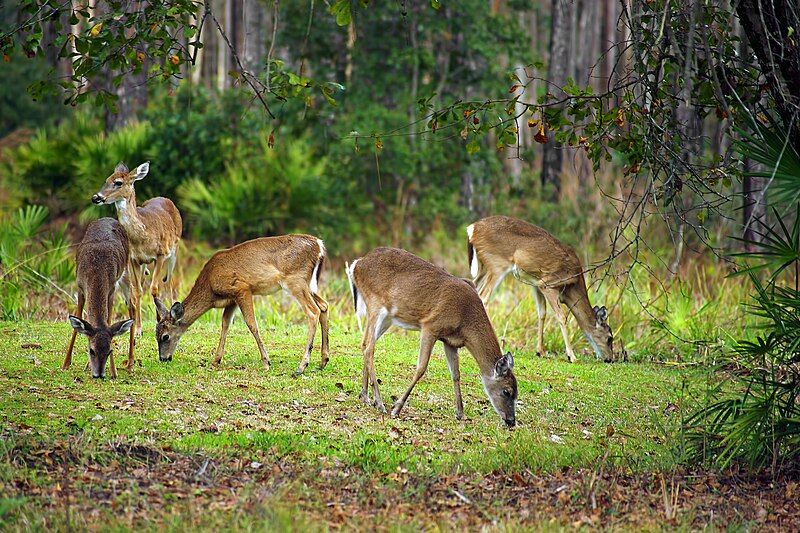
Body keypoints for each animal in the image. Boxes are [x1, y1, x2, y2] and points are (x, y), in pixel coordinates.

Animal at [63, 217, 135, 378]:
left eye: (109, 351)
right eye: (91, 351)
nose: (99, 374)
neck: (96, 271)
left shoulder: (111, 288)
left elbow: (108, 321)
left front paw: (113, 371)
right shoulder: (80, 287)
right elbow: (78, 321)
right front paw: (65, 364)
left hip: (126, 271)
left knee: (132, 305)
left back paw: (130, 364)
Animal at [91, 162, 182, 344]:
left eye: (118, 182)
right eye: (106, 179)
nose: (96, 197)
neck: (143, 235)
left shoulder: (161, 254)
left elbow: (154, 288)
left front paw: (160, 321)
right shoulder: (133, 259)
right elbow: (138, 292)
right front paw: (138, 330)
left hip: (174, 250)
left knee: (168, 282)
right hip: (144, 264)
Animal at [153, 233, 328, 374]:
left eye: (165, 336)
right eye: (156, 335)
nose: (163, 358)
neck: (210, 286)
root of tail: (319, 245)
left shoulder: (241, 288)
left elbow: (251, 323)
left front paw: (266, 362)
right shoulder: (232, 300)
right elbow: (225, 324)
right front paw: (216, 360)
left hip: (295, 280)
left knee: (313, 311)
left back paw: (301, 366)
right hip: (309, 284)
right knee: (324, 306)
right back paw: (322, 362)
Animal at [344, 247, 520, 426]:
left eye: (516, 392)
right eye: (507, 391)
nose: (511, 421)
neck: (466, 320)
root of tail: (357, 264)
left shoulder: (451, 341)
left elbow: (456, 374)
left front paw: (460, 413)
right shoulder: (430, 326)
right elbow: (421, 368)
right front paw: (397, 408)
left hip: (387, 317)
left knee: (364, 343)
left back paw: (365, 396)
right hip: (375, 304)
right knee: (369, 348)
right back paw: (379, 403)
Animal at [462, 215, 620, 362]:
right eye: (609, 338)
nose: (610, 359)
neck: (572, 287)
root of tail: (472, 229)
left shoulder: (536, 284)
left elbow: (541, 313)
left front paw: (540, 351)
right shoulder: (548, 283)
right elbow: (561, 316)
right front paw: (572, 356)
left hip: (484, 266)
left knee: (472, 286)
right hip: (497, 264)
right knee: (484, 297)